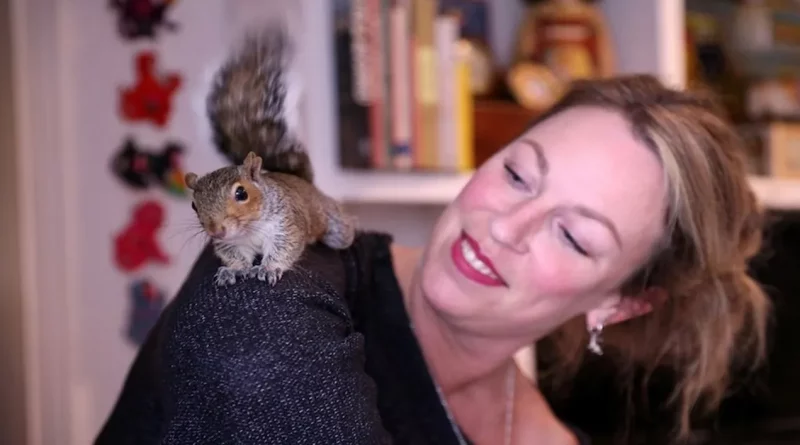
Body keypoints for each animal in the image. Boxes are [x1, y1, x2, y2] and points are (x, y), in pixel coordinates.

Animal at [188, 22, 356, 286]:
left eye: (241, 193)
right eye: (194, 205)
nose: (216, 230)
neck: (249, 228)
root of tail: (302, 181)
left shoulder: (286, 225)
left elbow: (284, 249)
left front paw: (268, 268)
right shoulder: (230, 244)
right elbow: (235, 256)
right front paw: (233, 270)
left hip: (333, 225)